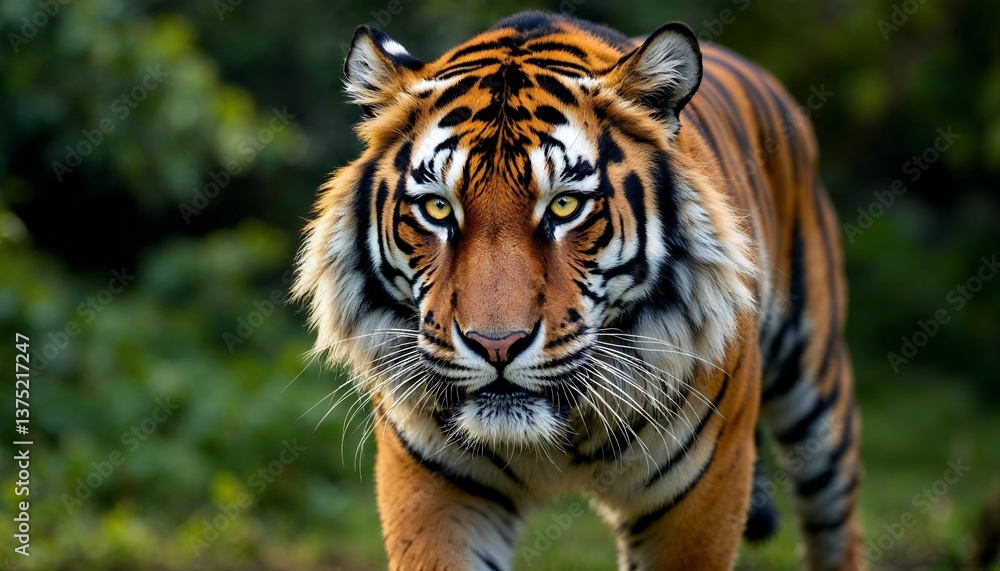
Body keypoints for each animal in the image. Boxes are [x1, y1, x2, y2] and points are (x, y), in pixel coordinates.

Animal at [293, 11, 863, 571]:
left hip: (817, 398)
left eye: (565, 206)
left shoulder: (701, 496)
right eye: (437, 208)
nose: (496, 346)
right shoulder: (436, 492)